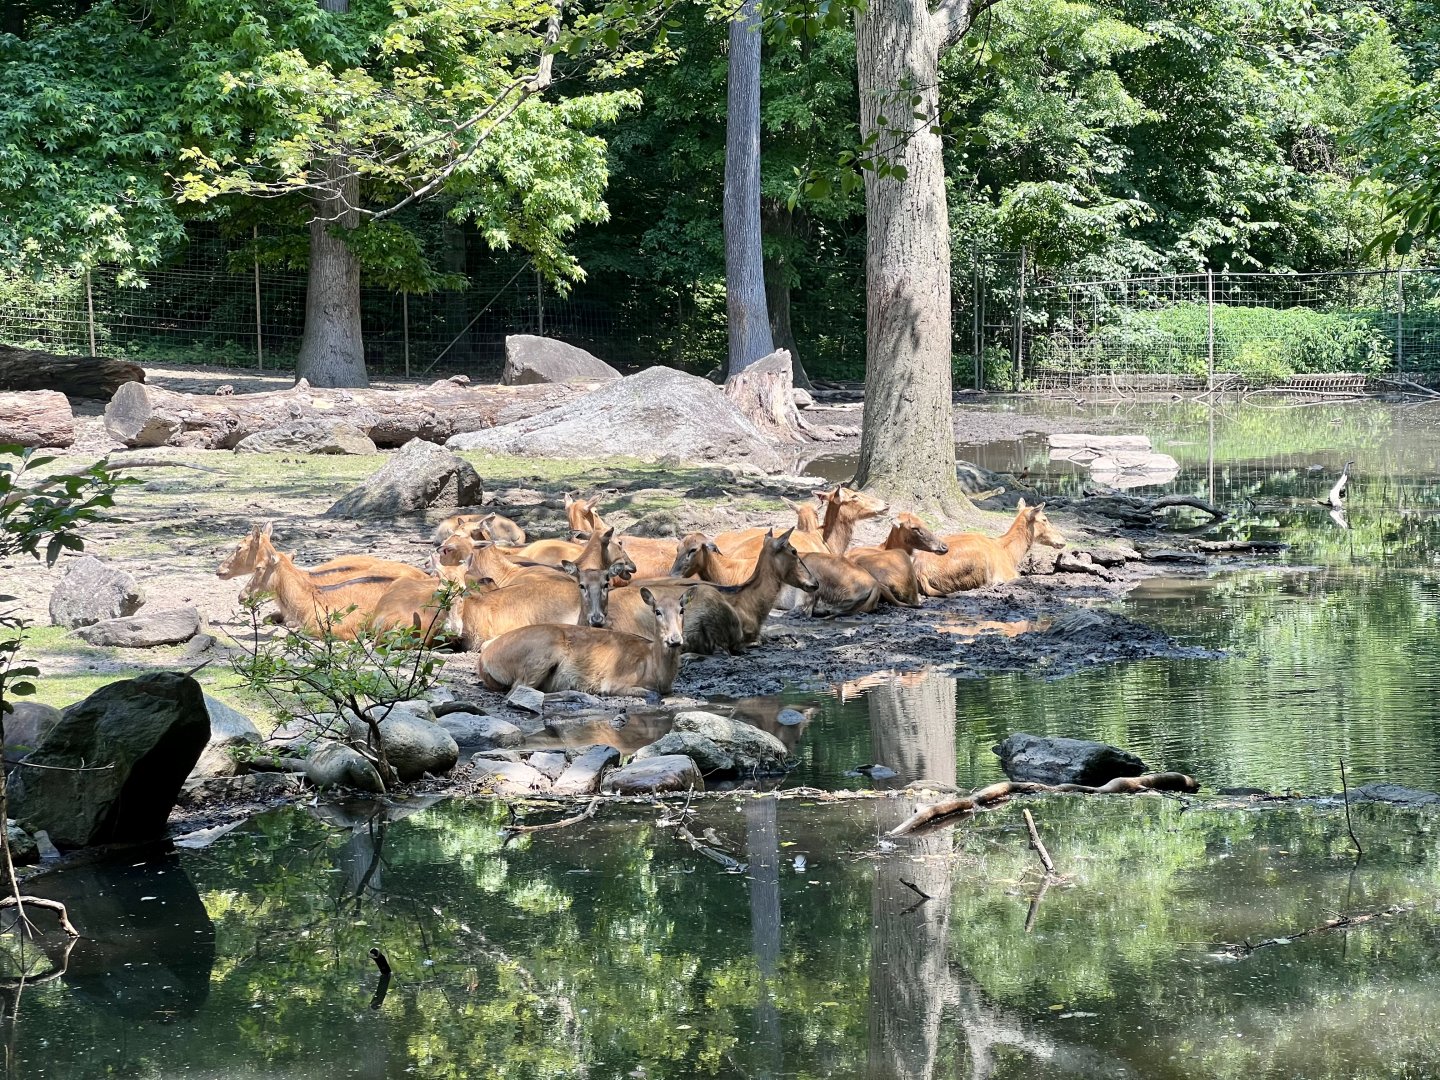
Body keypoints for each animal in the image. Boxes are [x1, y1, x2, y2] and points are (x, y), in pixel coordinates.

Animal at [479, 585, 698, 700]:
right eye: (657, 611)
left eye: (682, 610)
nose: (675, 639)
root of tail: (484, 659)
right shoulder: (615, 681)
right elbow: (651, 695)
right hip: (541, 651)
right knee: (518, 690)